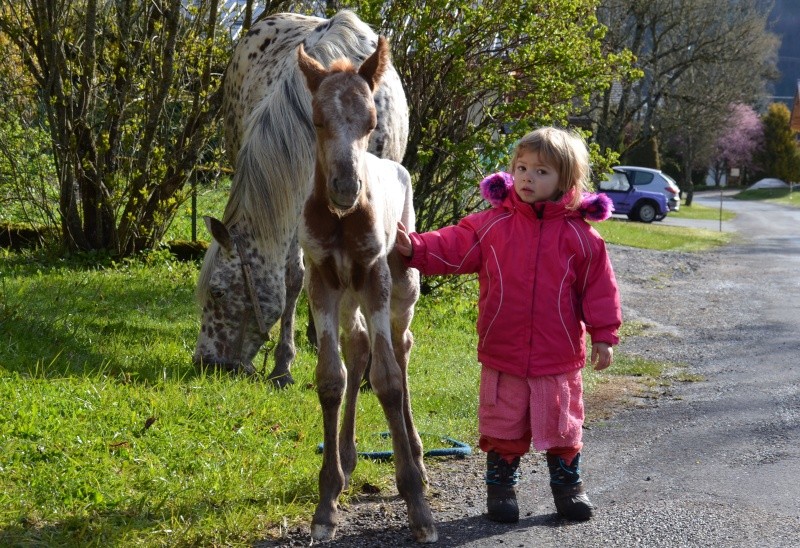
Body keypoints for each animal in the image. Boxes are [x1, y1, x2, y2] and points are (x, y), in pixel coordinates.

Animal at [192, 9, 406, 386]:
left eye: (217, 292)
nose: (206, 362)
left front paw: (368, 372)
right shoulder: (294, 210)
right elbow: (294, 278)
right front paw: (283, 365)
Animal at [296, 38, 438, 544]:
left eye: (372, 123)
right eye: (317, 120)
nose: (345, 187)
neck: (342, 220)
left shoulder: (375, 275)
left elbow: (389, 380)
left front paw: (417, 505)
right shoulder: (321, 280)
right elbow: (331, 378)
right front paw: (326, 503)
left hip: (401, 287)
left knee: (401, 346)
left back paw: (416, 453)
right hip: (349, 295)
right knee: (358, 346)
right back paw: (348, 455)